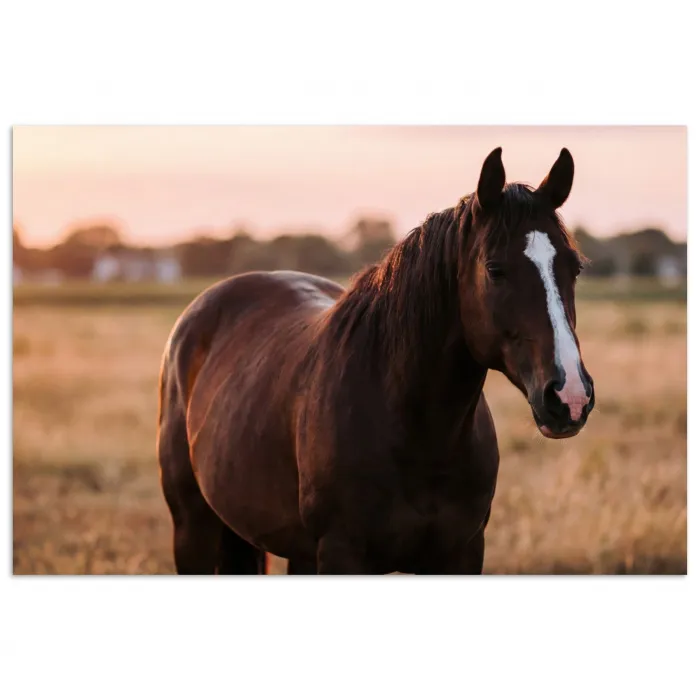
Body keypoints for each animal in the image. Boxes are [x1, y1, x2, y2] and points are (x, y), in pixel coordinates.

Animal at [157, 147, 595, 575]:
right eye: (495, 269)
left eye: (575, 267)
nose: (569, 397)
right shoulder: (341, 554)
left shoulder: (463, 553)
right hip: (192, 529)